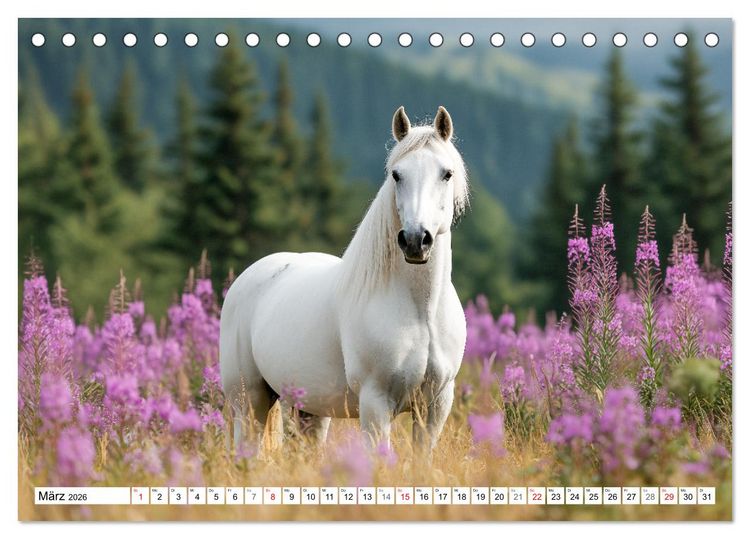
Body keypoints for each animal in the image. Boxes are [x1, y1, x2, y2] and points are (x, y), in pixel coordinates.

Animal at [219, 105, 469, 453]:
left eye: (446, 173)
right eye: (396, 175)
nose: (415, 240)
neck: (421, 312)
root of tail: (244, 281)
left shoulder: (435, 406)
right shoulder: (375, 403)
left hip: (310, 409)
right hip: (249, 402)